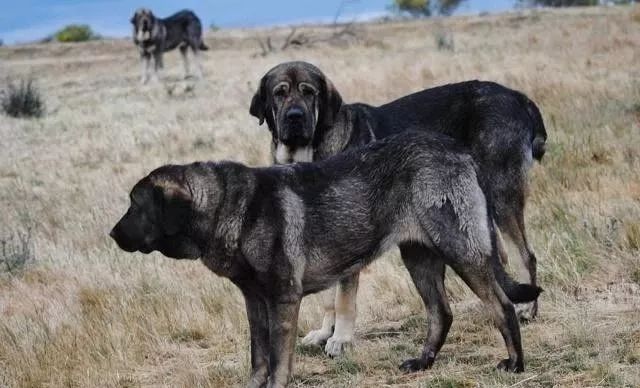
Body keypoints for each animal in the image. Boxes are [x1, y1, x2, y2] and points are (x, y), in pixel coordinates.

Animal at [110, 131, 540, 388]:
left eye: (135, 206)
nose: (112, 235)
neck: (231, 208)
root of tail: (459, 153)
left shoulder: (283, 299)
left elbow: (279, 358)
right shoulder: (255, 302)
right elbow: (258, 354)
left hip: (462, 252)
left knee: (502, 306)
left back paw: (515, 364)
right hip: (419, 258)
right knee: (441, 313)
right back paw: (422, 362)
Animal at [249, 61, 544, 358]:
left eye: (309, 92)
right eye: (279, 93)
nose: (295, 117)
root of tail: (519, 97)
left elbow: (343, 298)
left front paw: (341, 339)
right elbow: (328, 298)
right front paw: (324, 333)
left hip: (499, 196)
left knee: (525, 255)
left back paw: (527, 309)